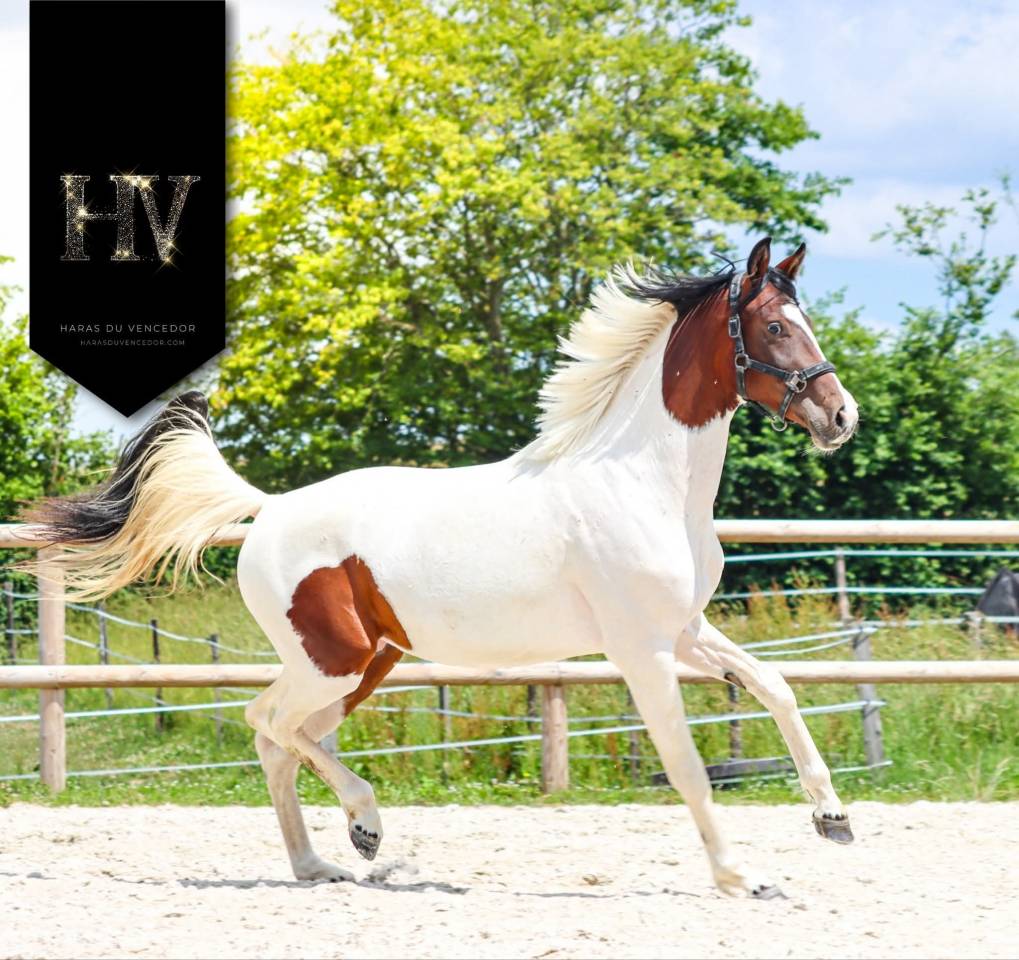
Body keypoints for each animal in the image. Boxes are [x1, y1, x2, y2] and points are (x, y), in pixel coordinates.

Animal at [23, 237, 858, 898]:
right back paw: (363, 827)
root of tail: (269, 508)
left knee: (282, 738)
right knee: (269, 722)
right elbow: (684, 761)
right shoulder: (640, 649)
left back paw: (317, 864)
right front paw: (740, 877)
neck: (640, 480)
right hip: (333, 661)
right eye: (775, 326)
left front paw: (833, 819)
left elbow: (777, 687)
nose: (840, 416)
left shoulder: (683, 630)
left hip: (366, 664)